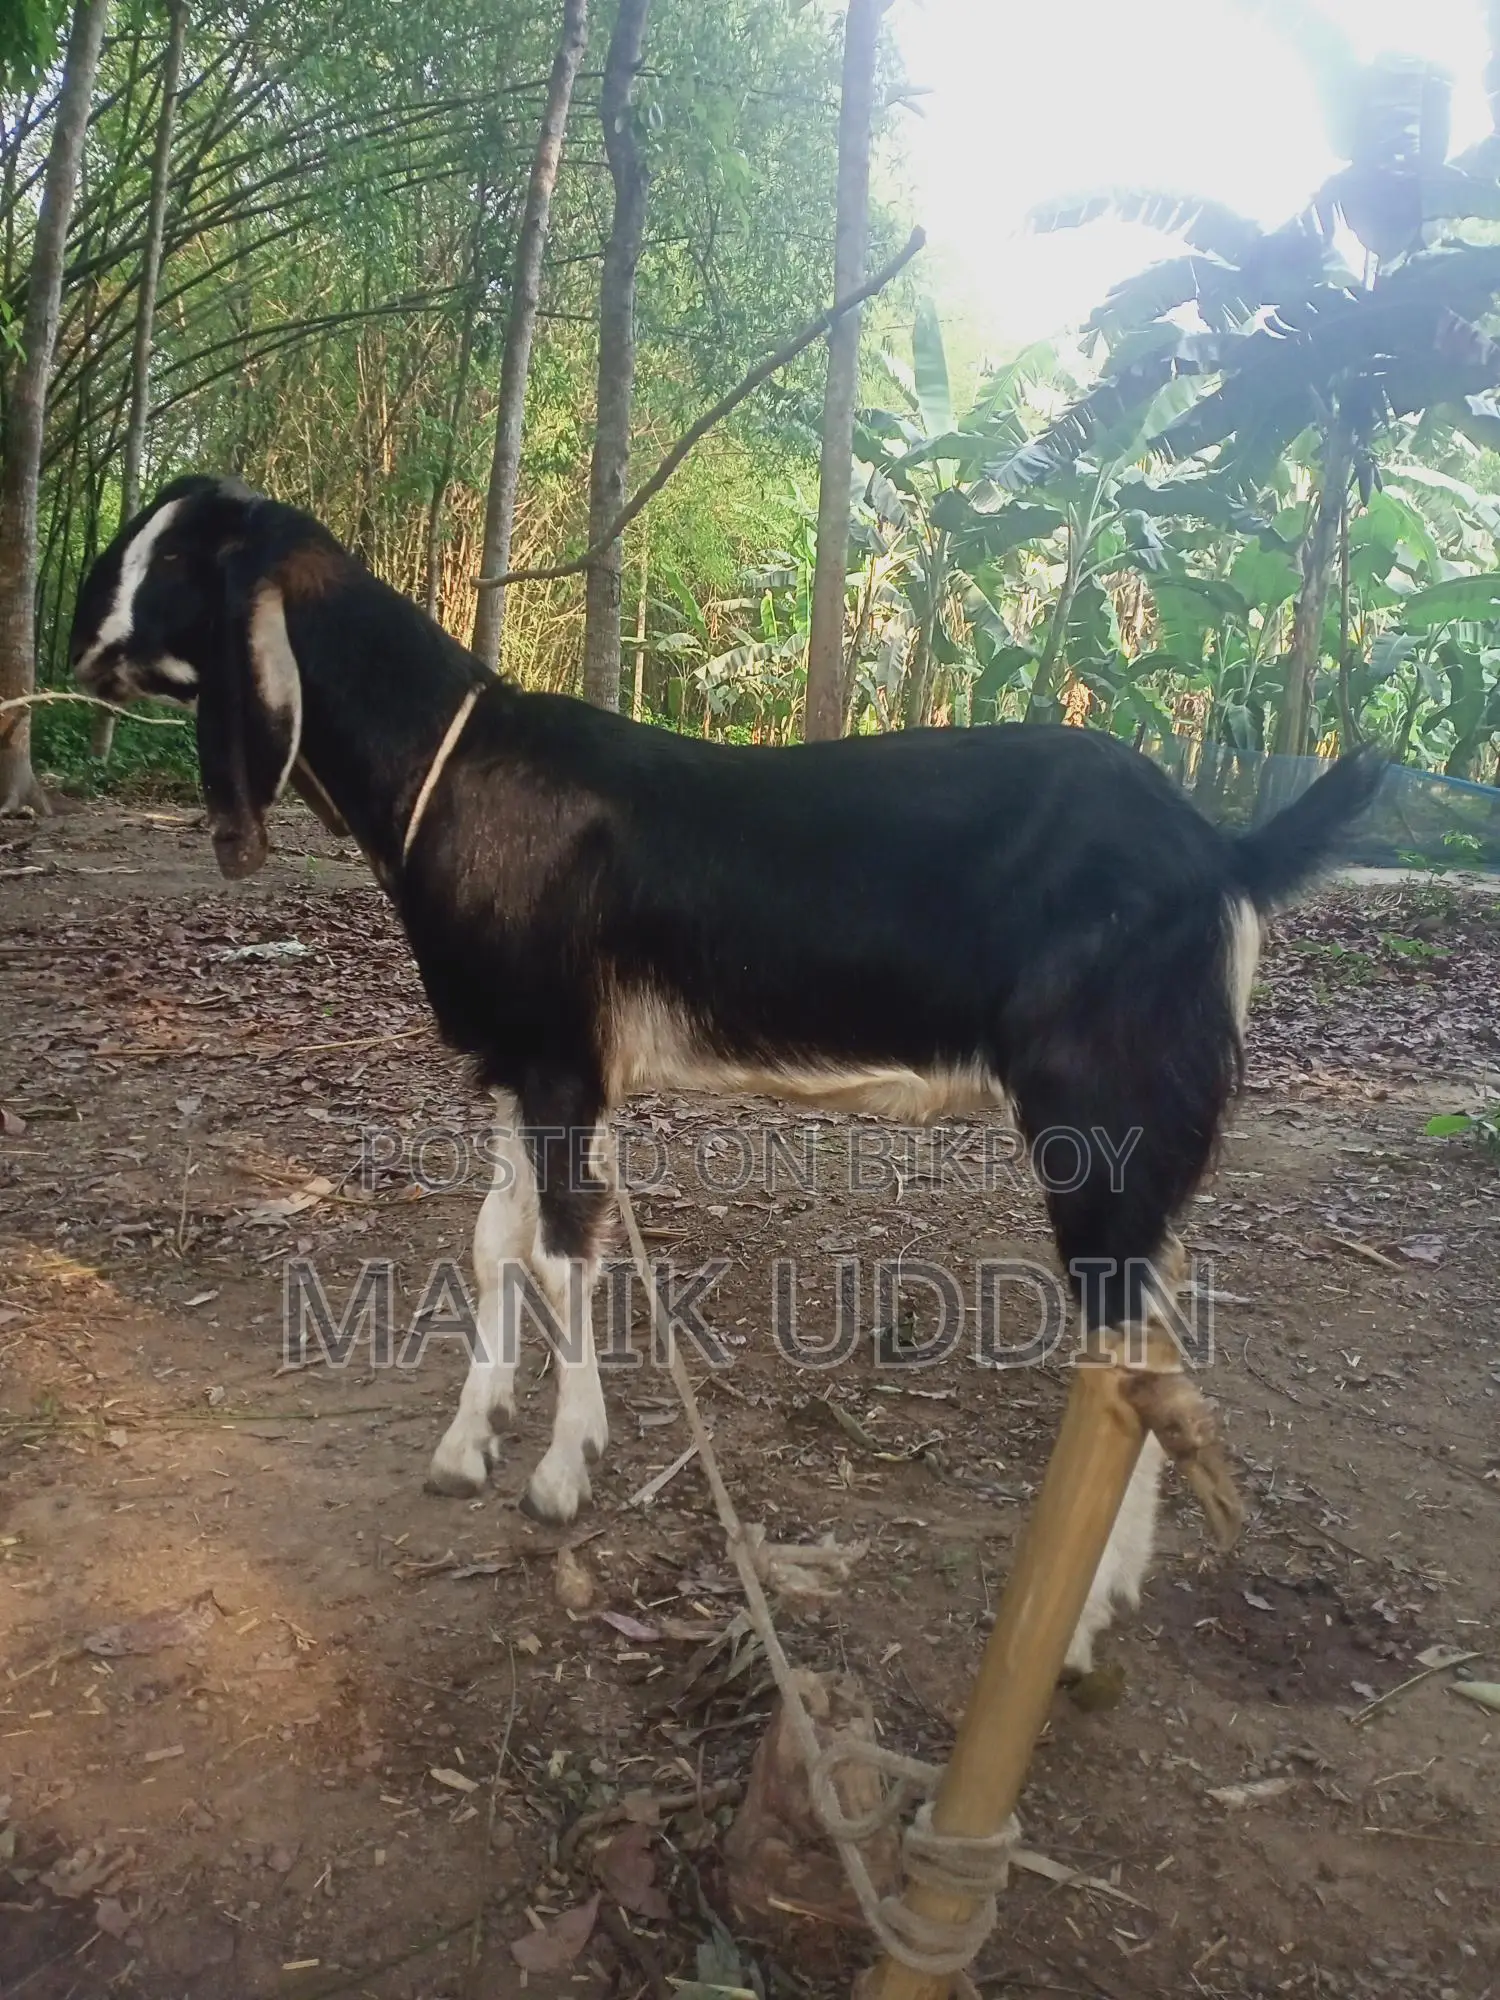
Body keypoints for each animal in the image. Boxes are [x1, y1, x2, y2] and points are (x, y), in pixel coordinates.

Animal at [72, 476, 1382, 1670]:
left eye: (175, 553)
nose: (83, 638)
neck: (455, 772)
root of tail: (1226, 850)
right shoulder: (508, 1057)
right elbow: (495, 1242)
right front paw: (467, 1440)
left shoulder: (564, 1060)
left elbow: (563, 1254)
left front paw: (563, 1468)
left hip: (1105, 1124)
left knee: (1133, 1355)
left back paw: (1082, 1623)